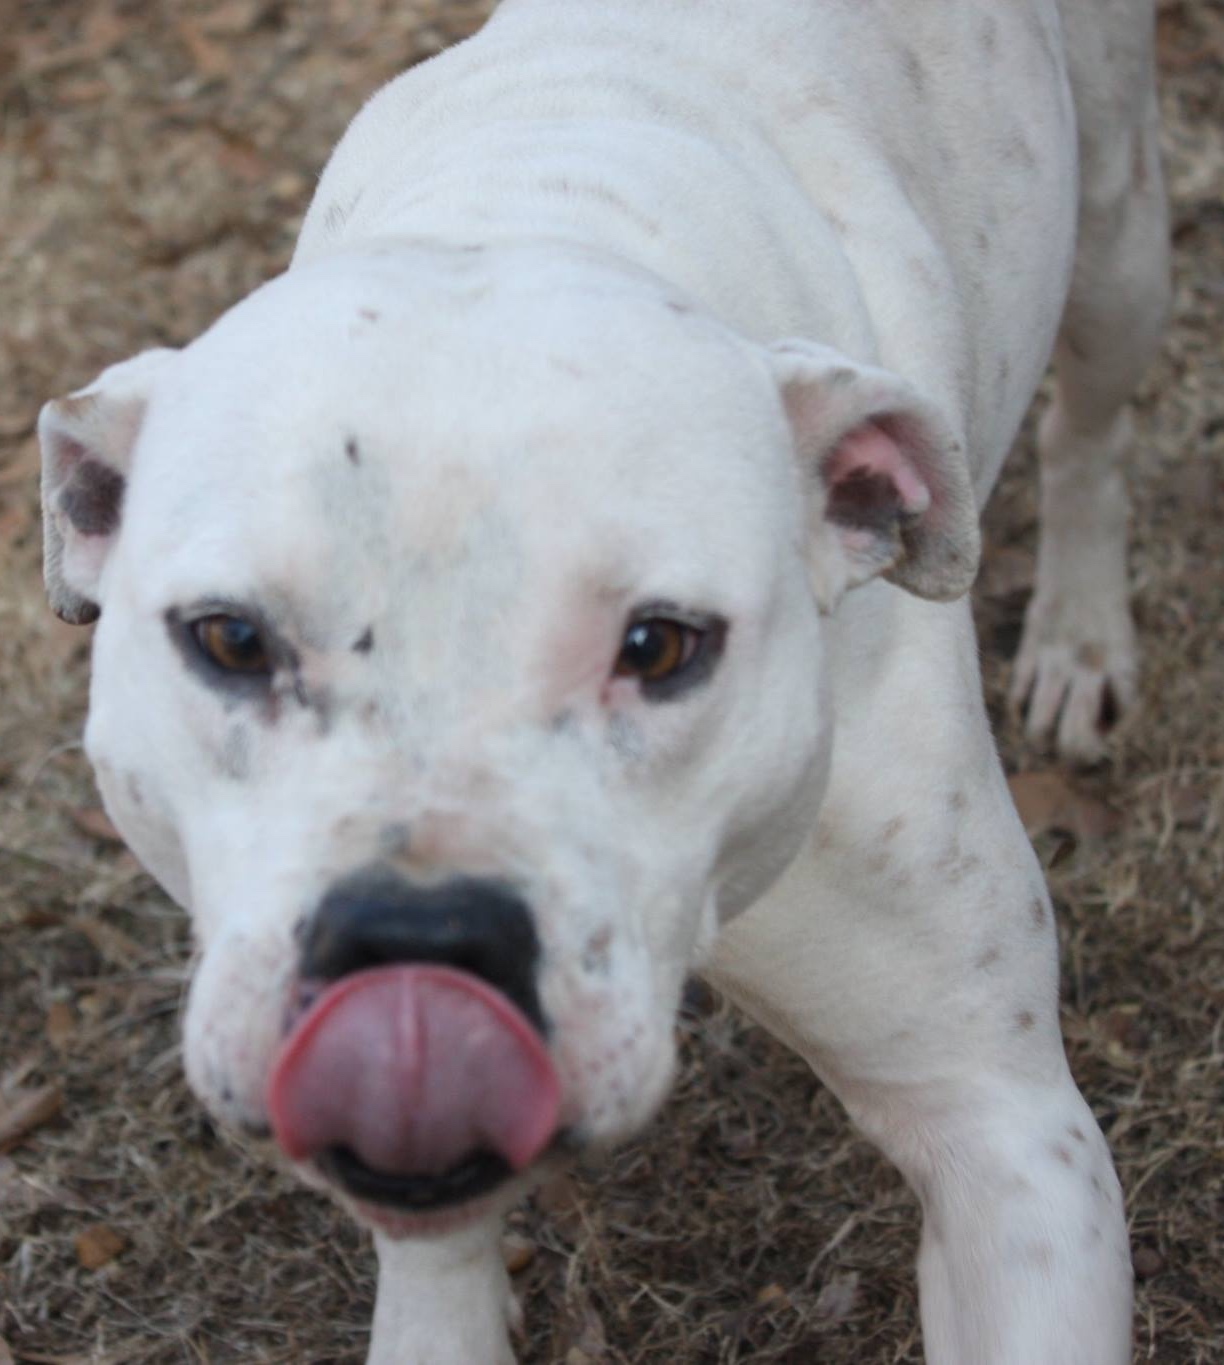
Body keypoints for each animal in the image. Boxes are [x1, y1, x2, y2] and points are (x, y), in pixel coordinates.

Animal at [38, 5, 1168, 1359]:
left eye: (661, 647)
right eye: (231, 640)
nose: (417, 942)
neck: (539, 206)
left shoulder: (1007, 1131)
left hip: (1118, 233)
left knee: (1094, 427)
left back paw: (1081, 635)